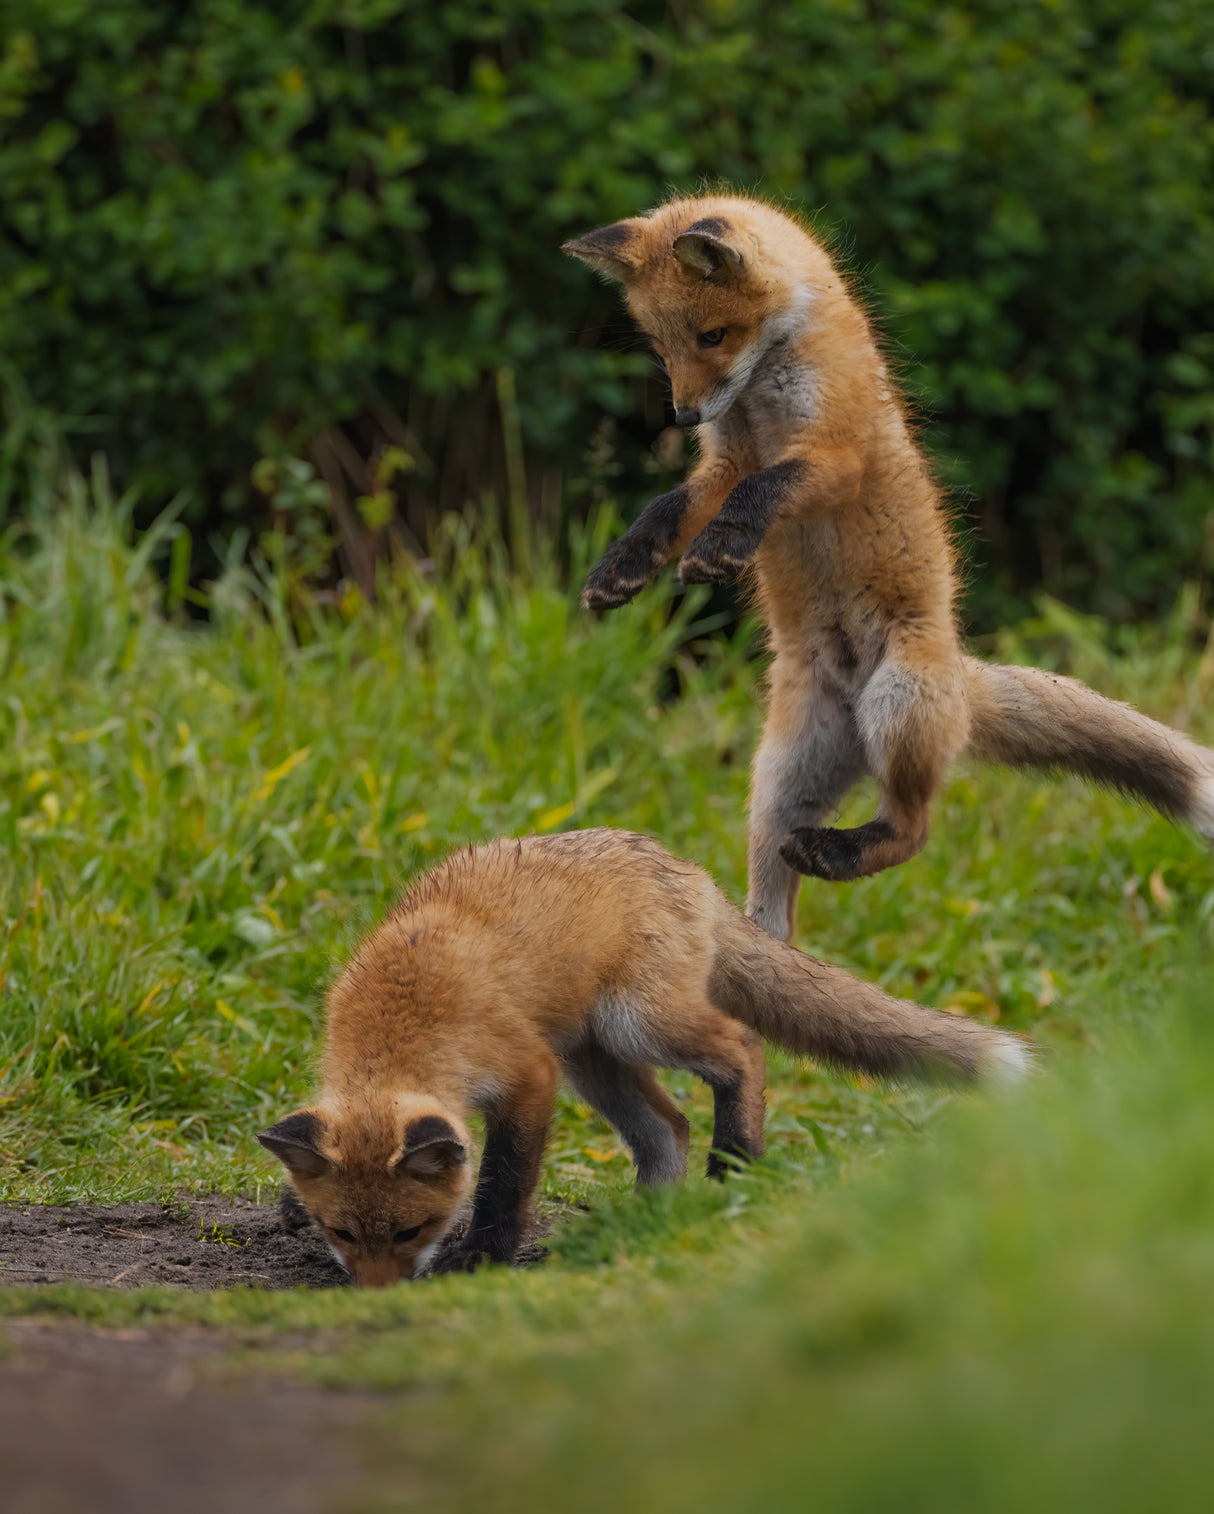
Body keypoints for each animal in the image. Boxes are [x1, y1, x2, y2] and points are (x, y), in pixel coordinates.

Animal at [258, 828, 1030, 1286]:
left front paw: (484, 1253)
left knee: (741, 1048)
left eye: (411, 1229)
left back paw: (735, 1161)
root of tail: (690, 870)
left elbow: (504, 1180)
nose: (377, 1297)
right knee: (669, 1127)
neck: (403, 1016)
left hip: (634, 1027)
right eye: (341, 1232)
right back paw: (650, 1218)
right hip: (593, 1059)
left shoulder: (528, 1074)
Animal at [563, 195, 1214, 940]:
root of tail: (956, 675)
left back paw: (842, 851)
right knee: (779, 899)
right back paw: (760, 941)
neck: (765, 390)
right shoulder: (724, 460)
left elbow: (762, 491)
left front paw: (720, 547)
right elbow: (667, 508)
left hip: (897, 703)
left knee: (914, 830)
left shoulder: (833, 455)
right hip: (780, 777)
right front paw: (622, 567)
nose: (684, 414)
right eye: (663, 348)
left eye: (713, 335)